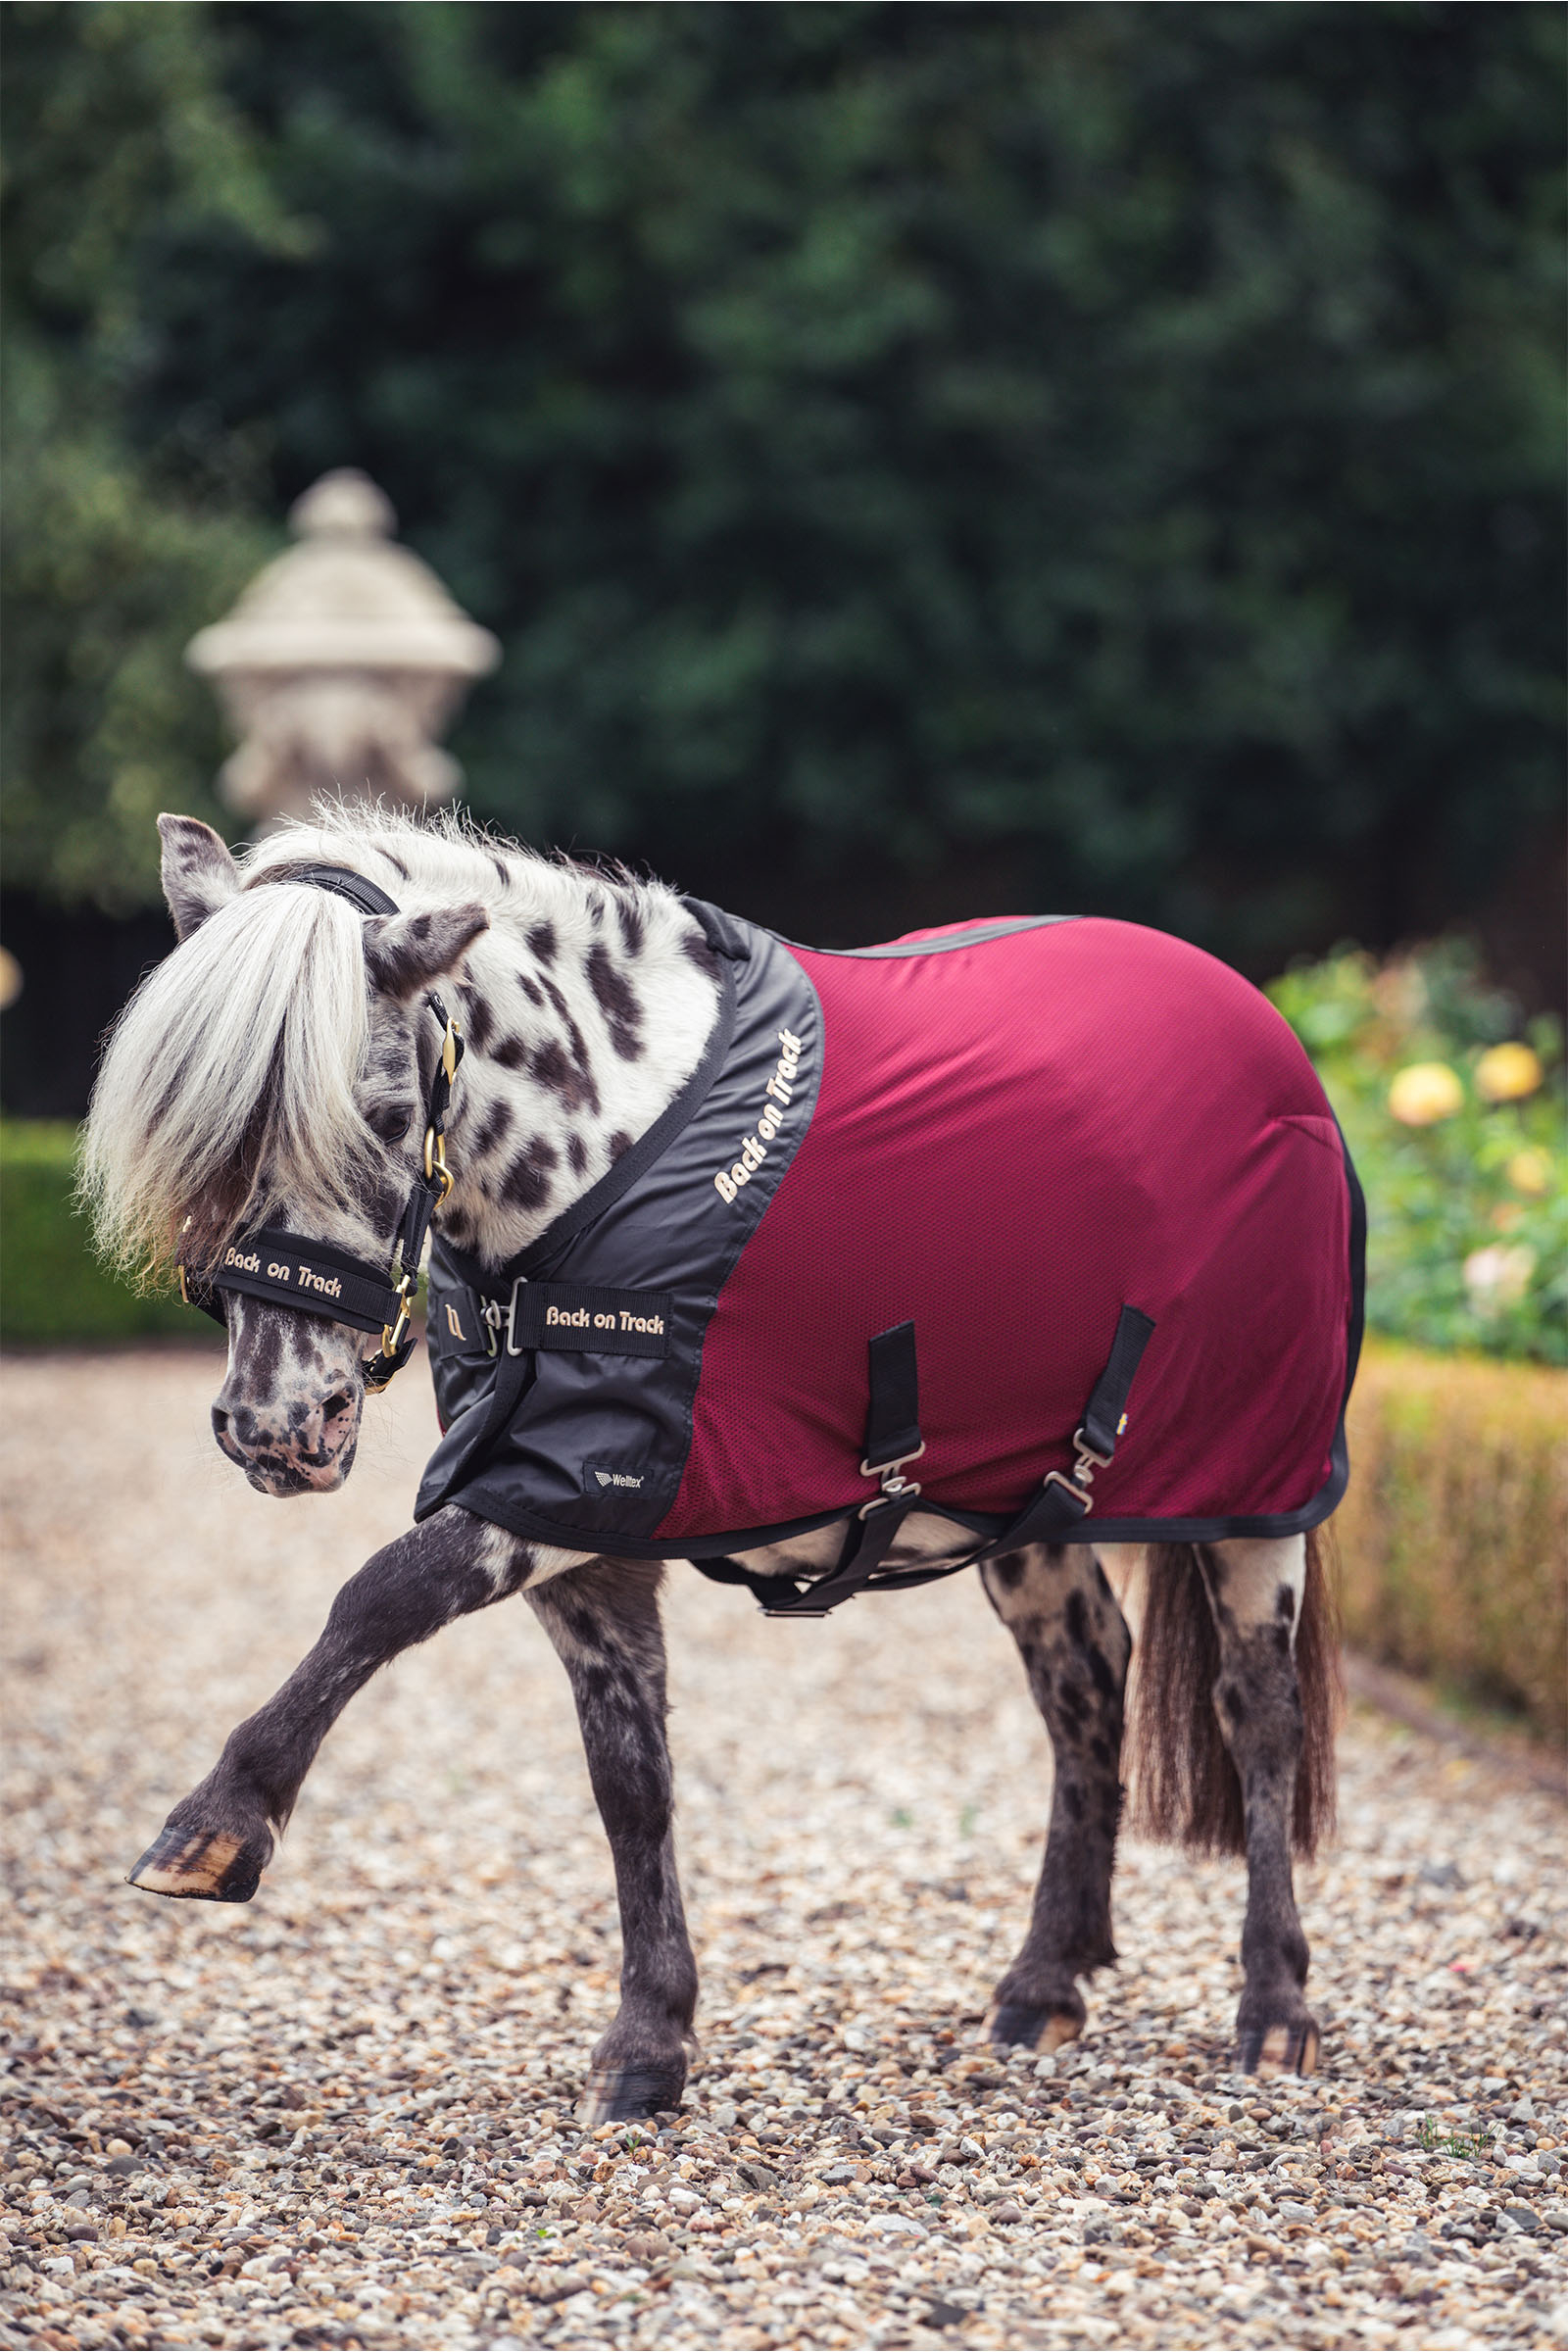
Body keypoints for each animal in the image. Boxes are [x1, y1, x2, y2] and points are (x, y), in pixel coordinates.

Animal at [80, 807, 1356, 2125]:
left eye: (382, 1111)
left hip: (1256, 1499)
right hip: (1025, 1513)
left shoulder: (559, 1491)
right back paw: (1044, 1983)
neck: (603, 1152)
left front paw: (216, 1824)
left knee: (1257, 1714)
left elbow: (377, 1598)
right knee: (1087, 1682)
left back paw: (1273, 2010)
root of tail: (1259, 1021)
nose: (277, 1425)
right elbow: (629, 1781)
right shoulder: (589, 1535)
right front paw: (650, 2042)